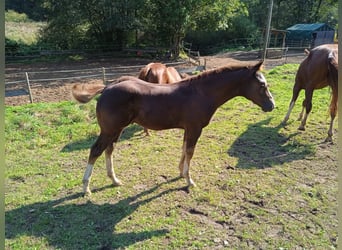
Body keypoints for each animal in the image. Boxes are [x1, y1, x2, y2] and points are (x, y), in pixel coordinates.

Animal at [72, 60, 276, 195]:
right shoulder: (195, 128)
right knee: (95, 150)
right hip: (109, 130)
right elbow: (190, 151)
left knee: (109, 149)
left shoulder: (188, 128)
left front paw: (180, 172)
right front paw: (189, 180)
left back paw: (114, 180)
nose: (271, 105)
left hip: (116, 130)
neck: (201, 93)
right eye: (262, 84)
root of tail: (106, 88)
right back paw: (86, 187)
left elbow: (184, 149)